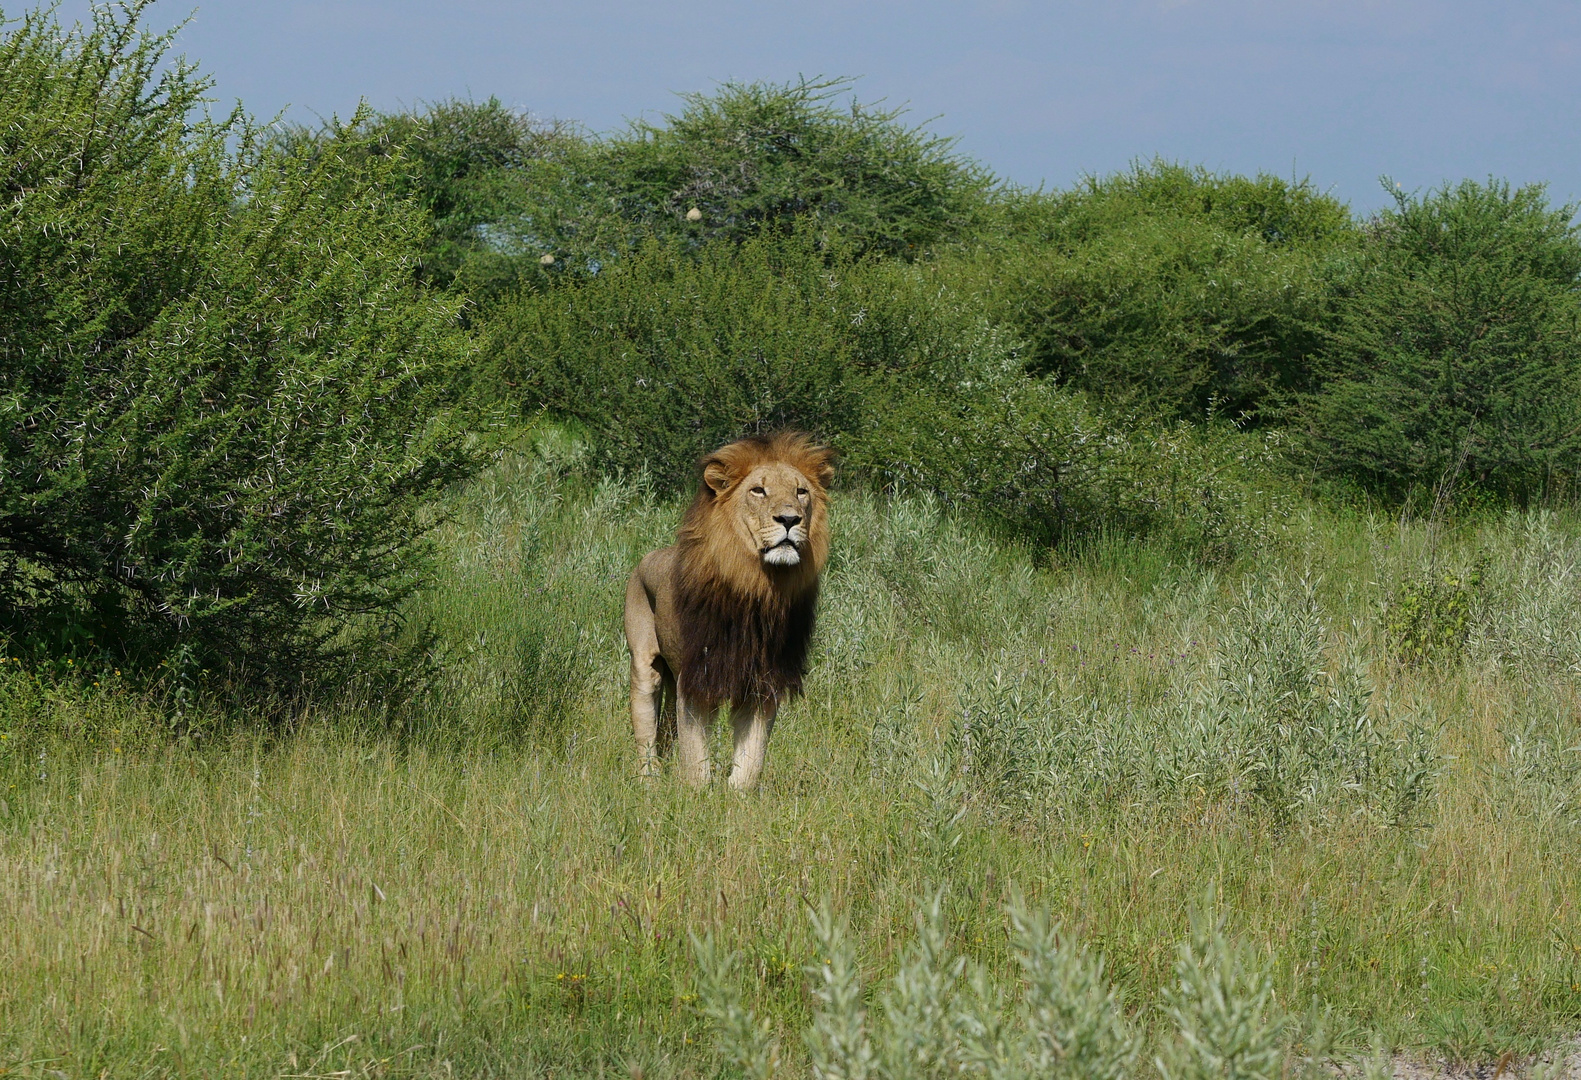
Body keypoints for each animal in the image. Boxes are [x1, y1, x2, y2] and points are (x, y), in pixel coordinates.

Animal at [619, 430, 834, 793]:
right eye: (758, 490)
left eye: (800, 491)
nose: (790, 519)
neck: (758, 586)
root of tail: (647, 557)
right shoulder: (698, 675)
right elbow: (695, 754)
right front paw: (696, 797)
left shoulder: (763, 681)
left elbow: (752, 755)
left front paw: (737, 797)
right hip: (644, 666)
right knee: (646, 733)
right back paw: (650, 781)